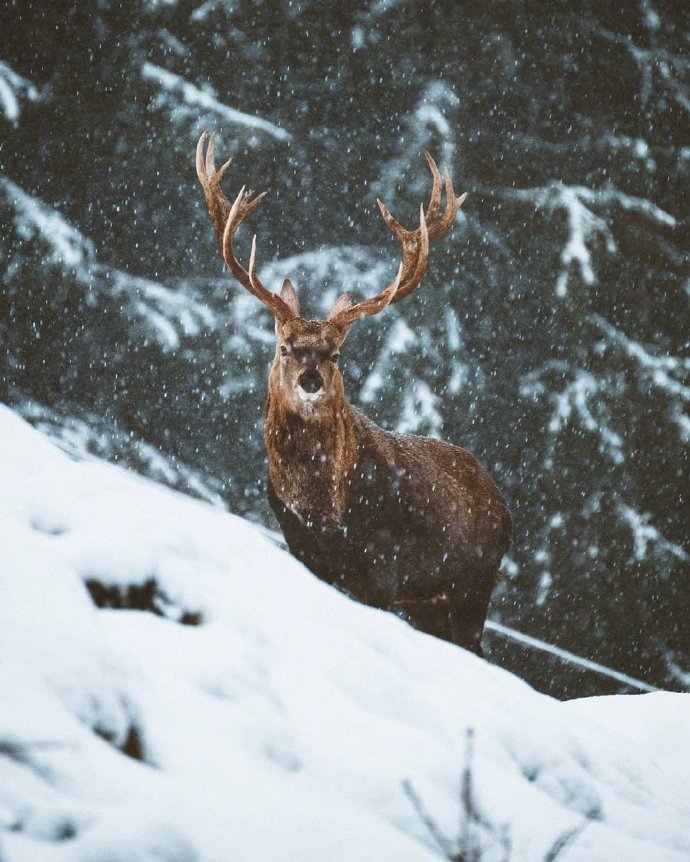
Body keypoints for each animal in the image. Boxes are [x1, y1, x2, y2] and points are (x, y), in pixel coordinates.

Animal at [196, 132, 508, 656]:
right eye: (284, 346)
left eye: (337, 354)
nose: (311, 380)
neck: (323, 508)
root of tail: (505, 510)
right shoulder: (302, 549)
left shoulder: (383, 566)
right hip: (431, 602)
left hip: (472, 585)